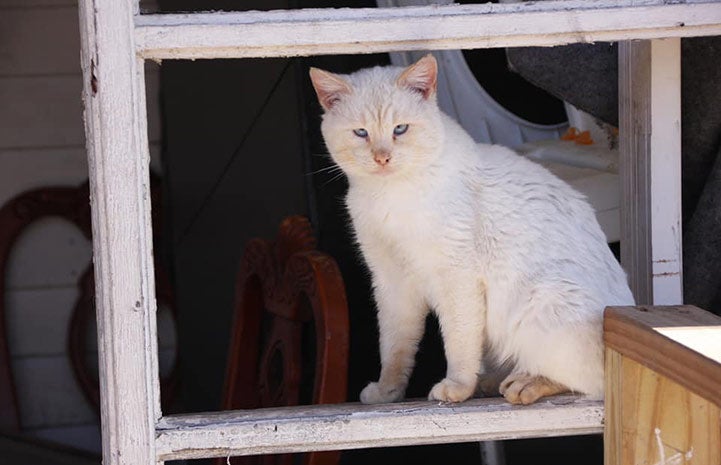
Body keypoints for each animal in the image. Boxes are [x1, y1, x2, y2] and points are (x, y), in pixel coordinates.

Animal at [306, 53, 632, 402]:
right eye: (360, 133)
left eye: (400, 129)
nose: (382, 158)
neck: (389, 195)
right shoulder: (392, 282)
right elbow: (394, 347)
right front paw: (386, 392)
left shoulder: (456, 277)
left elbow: (458, 342)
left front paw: (456, 389)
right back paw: (491, 383)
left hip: (542, 301)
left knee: (590, 383)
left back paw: (522, 384)